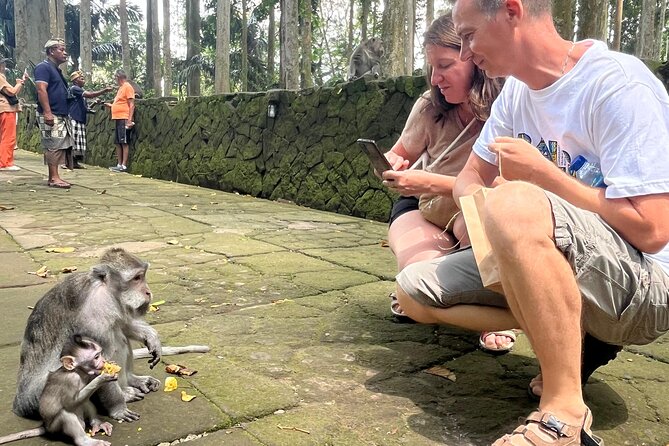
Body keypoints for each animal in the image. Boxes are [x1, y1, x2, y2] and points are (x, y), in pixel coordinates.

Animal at [13, 248, 162, 423]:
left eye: (143, 275)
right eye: (137, 278)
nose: (148, 292)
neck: (107, 291)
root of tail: (20, 406)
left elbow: (123, 323)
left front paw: (151, 337)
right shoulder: (94, 316)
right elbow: (100, 360)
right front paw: (118, 408)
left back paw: (133, 380)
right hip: (45, 398)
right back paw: (125, 393)